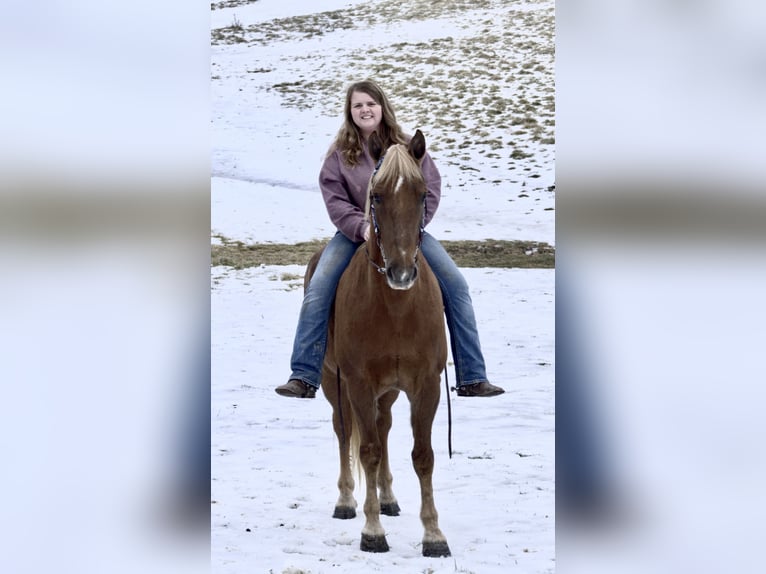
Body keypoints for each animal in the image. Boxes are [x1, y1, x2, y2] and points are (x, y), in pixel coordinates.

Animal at [304, 129, 451, 557]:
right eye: (377, 196)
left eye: (422, 193)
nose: (401, 273)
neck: (396, 308)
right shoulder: (358, 383)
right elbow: (366, 451)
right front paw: (372, 531)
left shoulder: (426, 385)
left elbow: (423, 455)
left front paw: (433, 534)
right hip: (333, 382)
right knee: (345, 431)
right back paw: (347, 501)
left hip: (388, 391)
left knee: (383, 428)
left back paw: (387, 499)